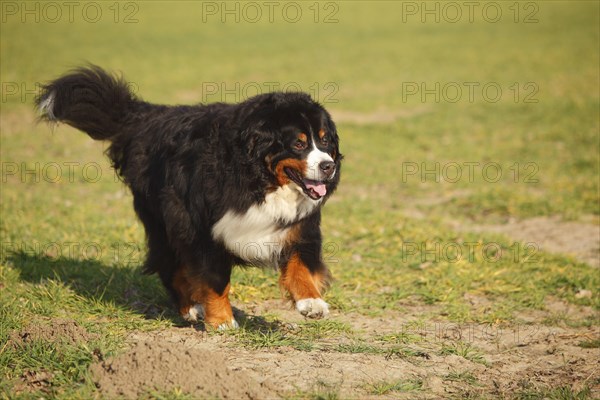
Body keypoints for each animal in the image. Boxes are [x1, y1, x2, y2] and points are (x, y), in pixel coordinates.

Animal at [36, 65, 342, 328]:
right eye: (298, 144)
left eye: (325, 140)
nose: (329, 166)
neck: (259, 182)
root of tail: (149, 116)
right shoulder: (201, 226)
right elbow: (215, 278)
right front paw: (222, 321)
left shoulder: (299, 225)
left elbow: (301, 264)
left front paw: (312, 302)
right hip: (164, 221)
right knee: (170, 266)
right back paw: (191, 308)